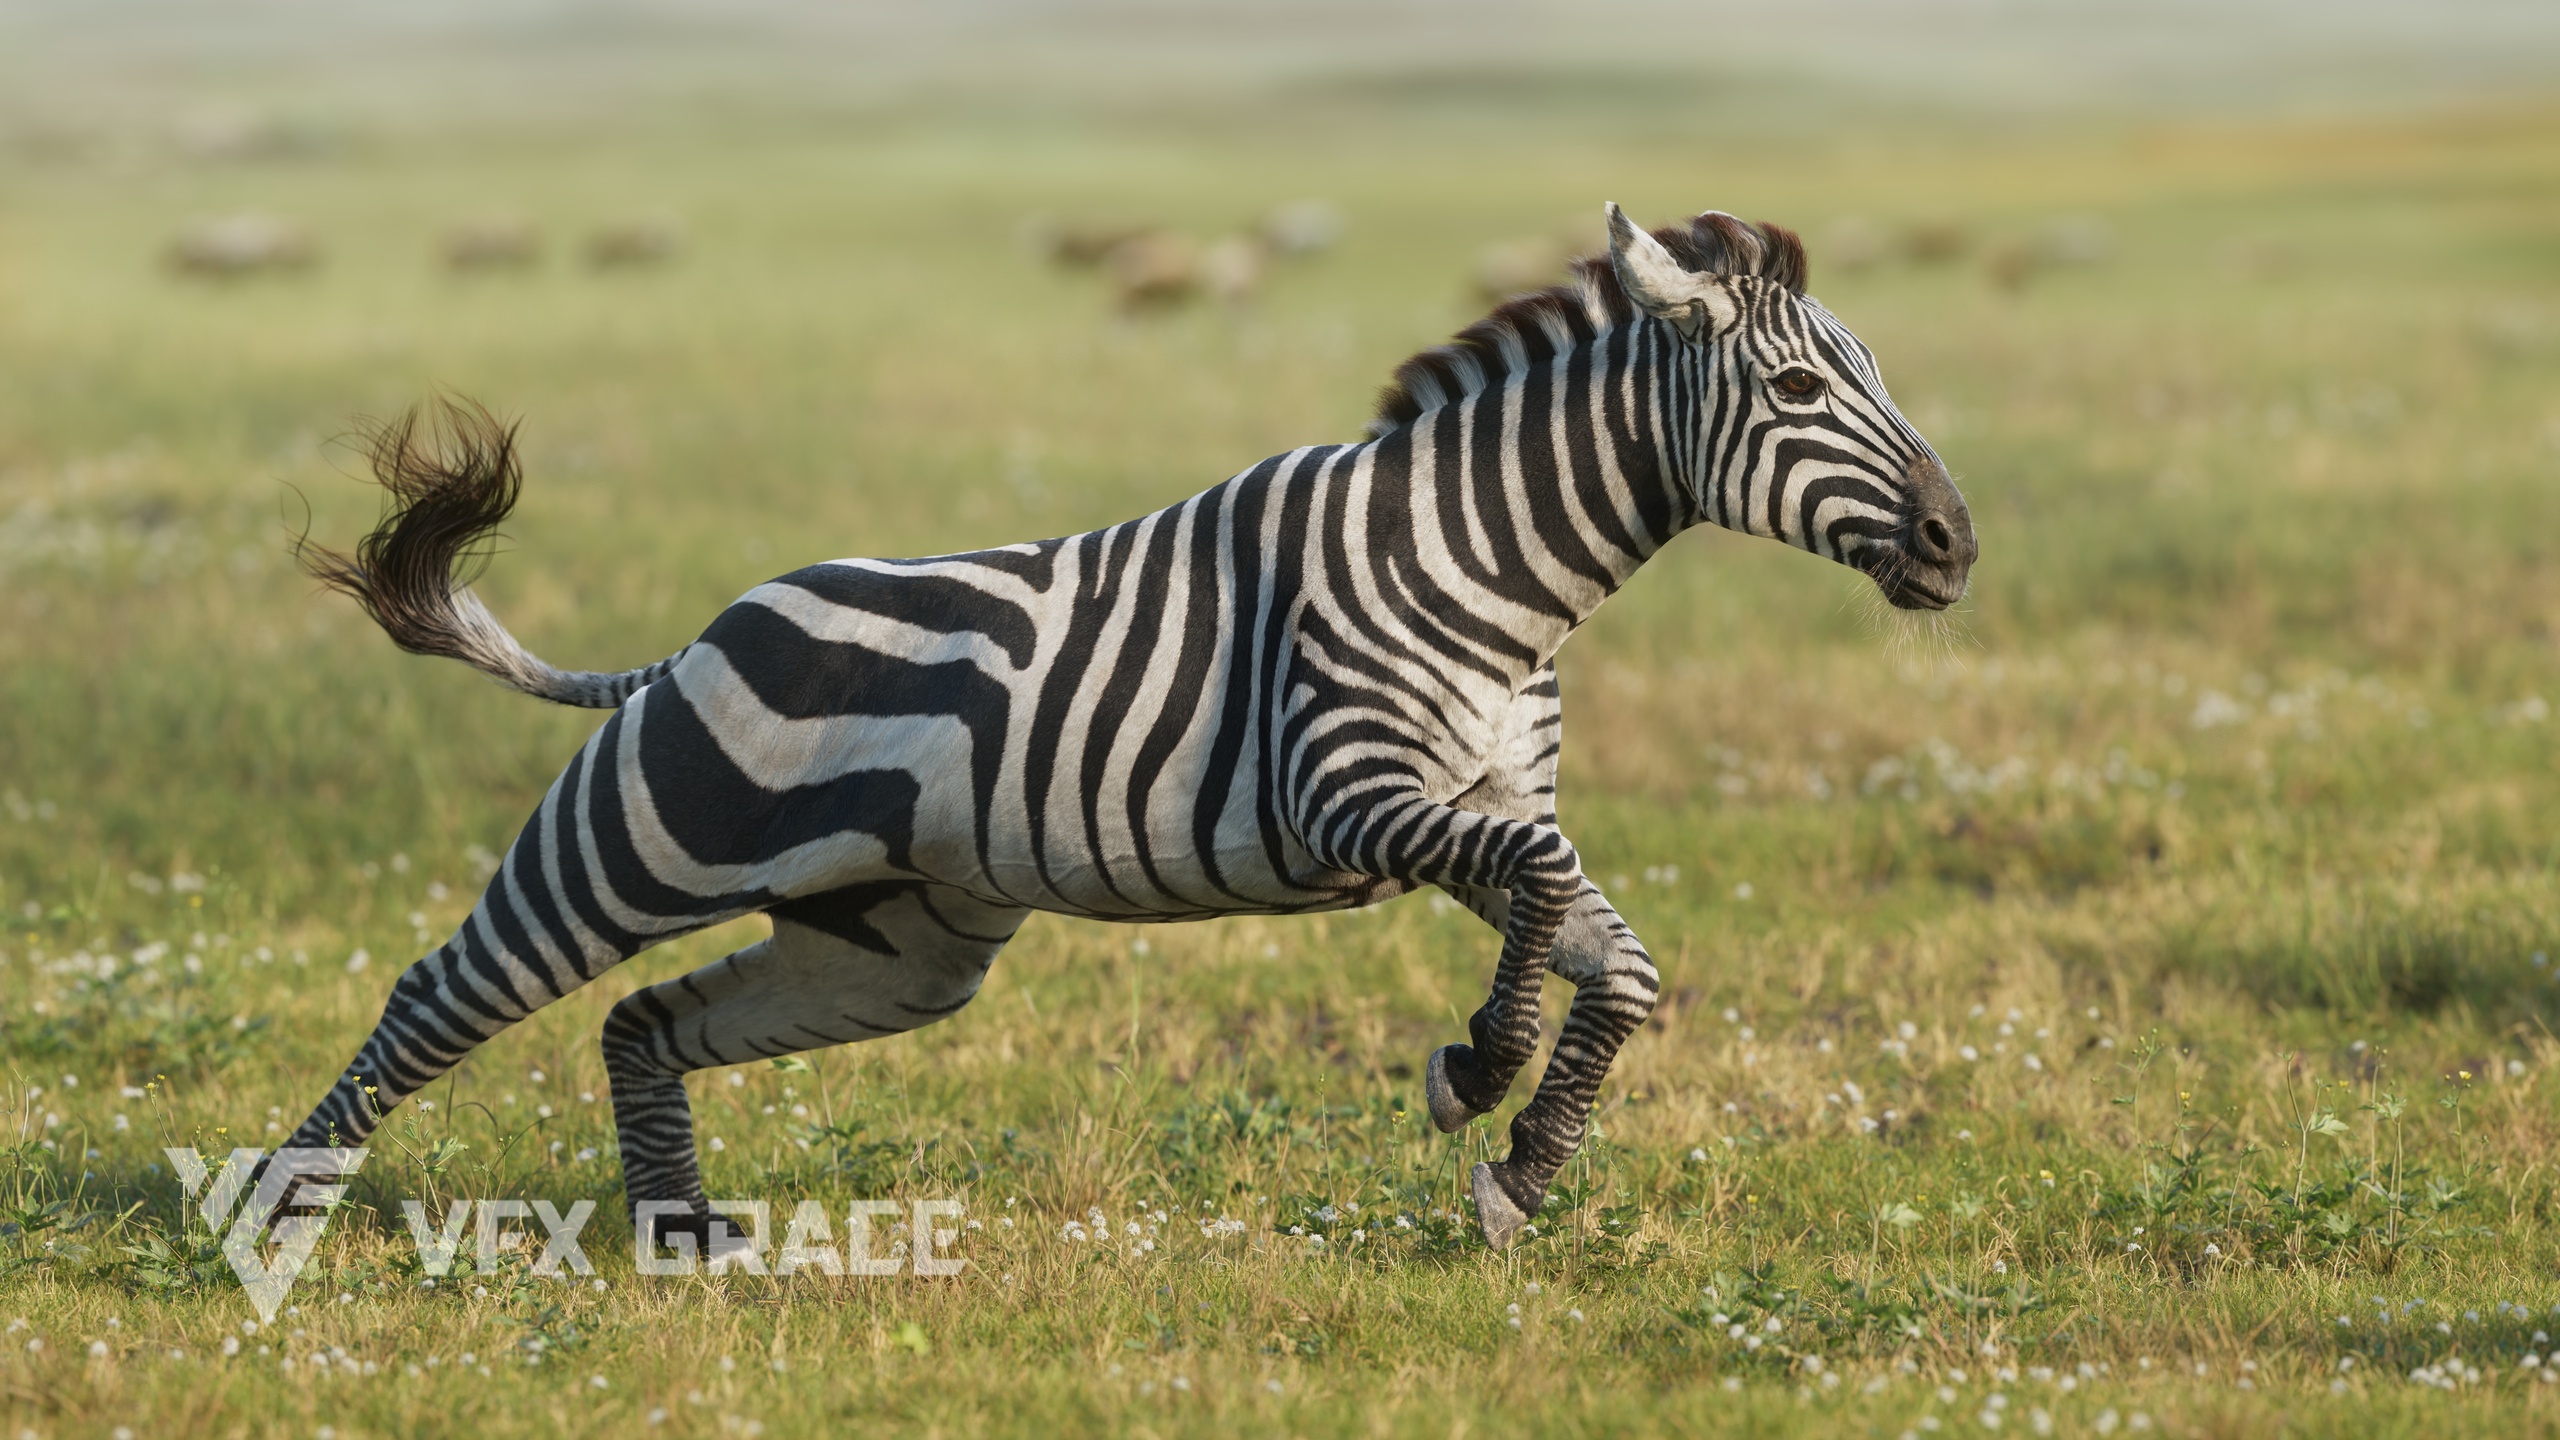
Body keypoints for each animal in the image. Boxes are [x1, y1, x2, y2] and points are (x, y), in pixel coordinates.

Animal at [285, 203, 1975, 1250]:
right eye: (1800, 387)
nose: (1958, 546)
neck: (1499, 569)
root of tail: (700, 636)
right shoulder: (1350, 794)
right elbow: (1549, 905)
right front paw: (1478, 1071)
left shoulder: (1493, 806)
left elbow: (1614, 961)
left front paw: (1521, 1169)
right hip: (642, 842)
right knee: (440, 992)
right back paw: (278, 1219)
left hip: (892, 945)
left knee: (641, 1023)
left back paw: (678, 1241)